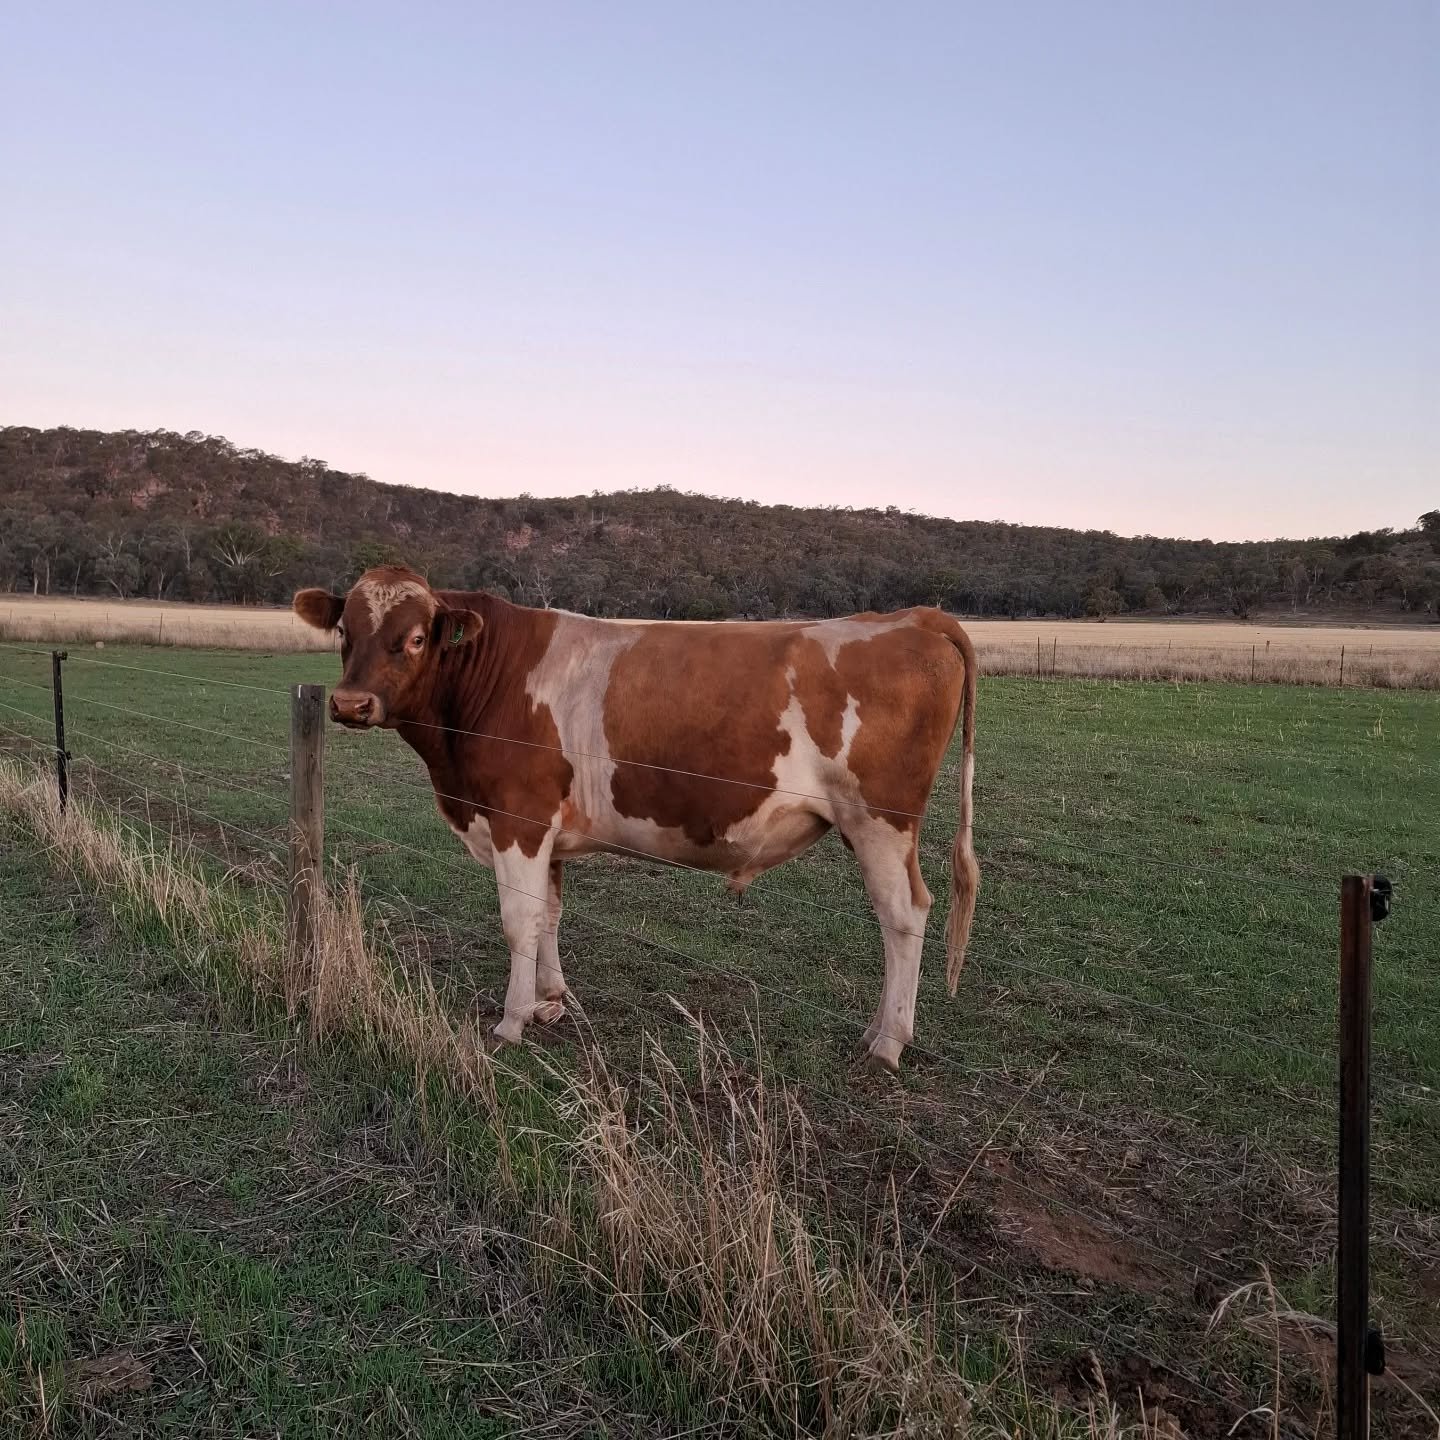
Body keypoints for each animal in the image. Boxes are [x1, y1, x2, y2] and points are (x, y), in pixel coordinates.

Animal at [293, 565, 978, 1070]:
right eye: (344, 631)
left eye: (415, 637)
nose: (351, 704)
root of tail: (912, 616)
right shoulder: (549, 831)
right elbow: (550, 913)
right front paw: (550, 1001)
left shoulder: (518, 818)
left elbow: (518, 922)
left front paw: (511, 1022)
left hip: (880, 821)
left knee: (904, 915)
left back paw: (887, 1042)